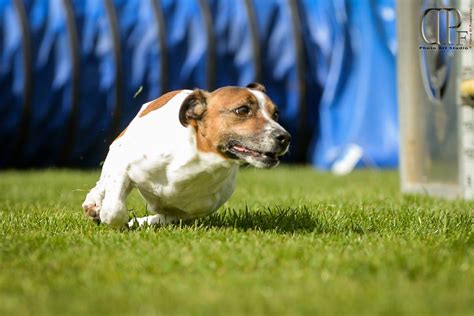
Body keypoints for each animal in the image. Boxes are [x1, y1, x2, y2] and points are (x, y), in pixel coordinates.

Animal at [81, 82, 288, 228]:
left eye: (276, 114)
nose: (285, 137)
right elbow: (114, 209)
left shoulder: (188, 212)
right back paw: (94, 202)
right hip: (119, 146)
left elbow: (163, 217)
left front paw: (137, 222)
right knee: (104, 181)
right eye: (243, 110)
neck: (199, 160)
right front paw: (109, 215)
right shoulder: (123, 163)